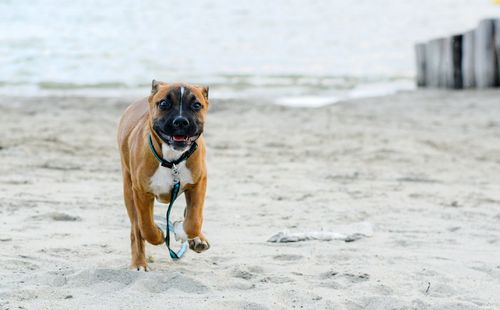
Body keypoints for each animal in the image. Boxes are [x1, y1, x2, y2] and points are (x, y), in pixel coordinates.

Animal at [117, 81, 209, 270]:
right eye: (164, 104)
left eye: (197, 105)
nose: (181, 121)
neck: (172, 160)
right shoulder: (141, 192)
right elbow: (146, 227)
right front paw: (159, 235)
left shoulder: (199, 183)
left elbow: (194, 220)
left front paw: (183, 231)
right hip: (128, 191)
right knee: (136, 230)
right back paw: (139, 263)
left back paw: (198, 239)